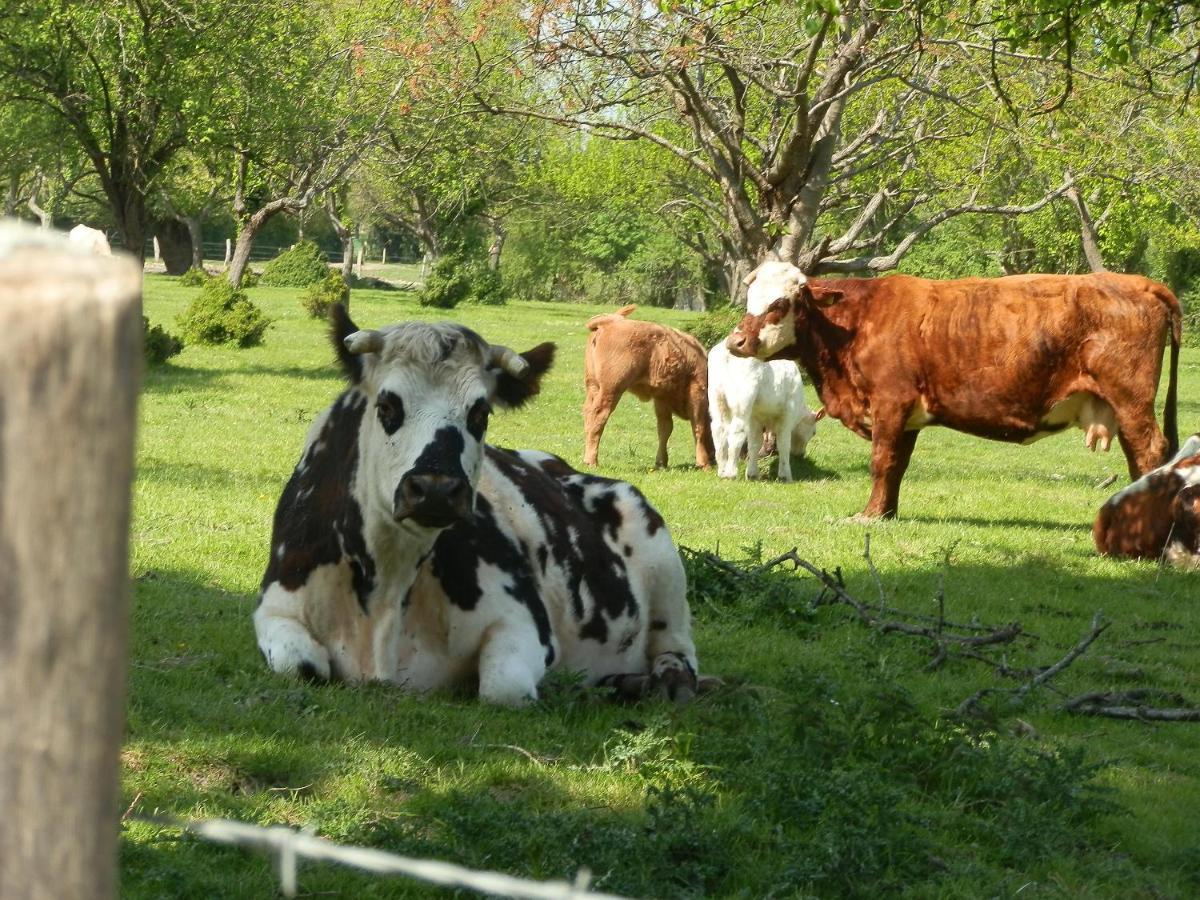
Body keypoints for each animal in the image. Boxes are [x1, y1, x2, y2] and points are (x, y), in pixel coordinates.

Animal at [580, 304, 710, 468]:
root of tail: (611, 321)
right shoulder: (698, 392)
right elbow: (698, 427)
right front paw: (704, 464)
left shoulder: (661, 399)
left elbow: (665, 428)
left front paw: (661, 462)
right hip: (611, 389)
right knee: (598, 415)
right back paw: (592, 461)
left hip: (593, 386)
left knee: (588, 414)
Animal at [705, 340, 820, 482]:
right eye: (814, 432)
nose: (800, 455)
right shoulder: (788, 414)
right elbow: (783, 443)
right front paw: (785, 475)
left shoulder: (755, 418)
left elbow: (754, 443)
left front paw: (752, 473)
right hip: (741, 405)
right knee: (736, 434)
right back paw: (730, 473)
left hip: (717, 400)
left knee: (718, 430)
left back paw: (722, 470)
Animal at [724, 260, 1176, 520]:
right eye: (749, 300)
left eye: (780, 304)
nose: (736, 342)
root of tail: (1143, 284)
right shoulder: (906, 417)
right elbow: (897, 466)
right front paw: (885, 513)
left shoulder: (890, 403)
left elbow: (881, 462)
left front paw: (868, 516)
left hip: (1131, 401)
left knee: (1149, 450)